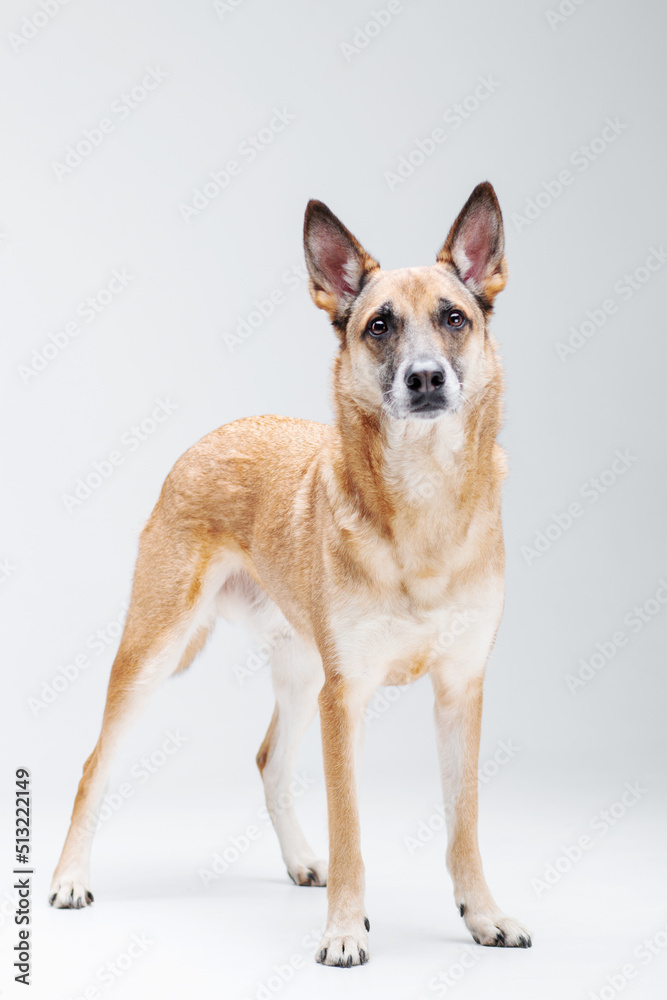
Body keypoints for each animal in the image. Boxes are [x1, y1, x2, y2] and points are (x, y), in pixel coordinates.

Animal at [49, 182, 532, 968]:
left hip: (304, 674)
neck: (422, 501)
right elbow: (351, 827)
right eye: (378, 326)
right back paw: (69, 878)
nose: (426, 378)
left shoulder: (460, 690)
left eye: (453, 318)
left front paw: (482, 915)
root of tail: (218, 433)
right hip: (156, 653)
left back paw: (305, 860)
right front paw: (344, 931)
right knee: (96, 765)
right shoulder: (348, 698)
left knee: (270, 760)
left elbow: (464, 824)